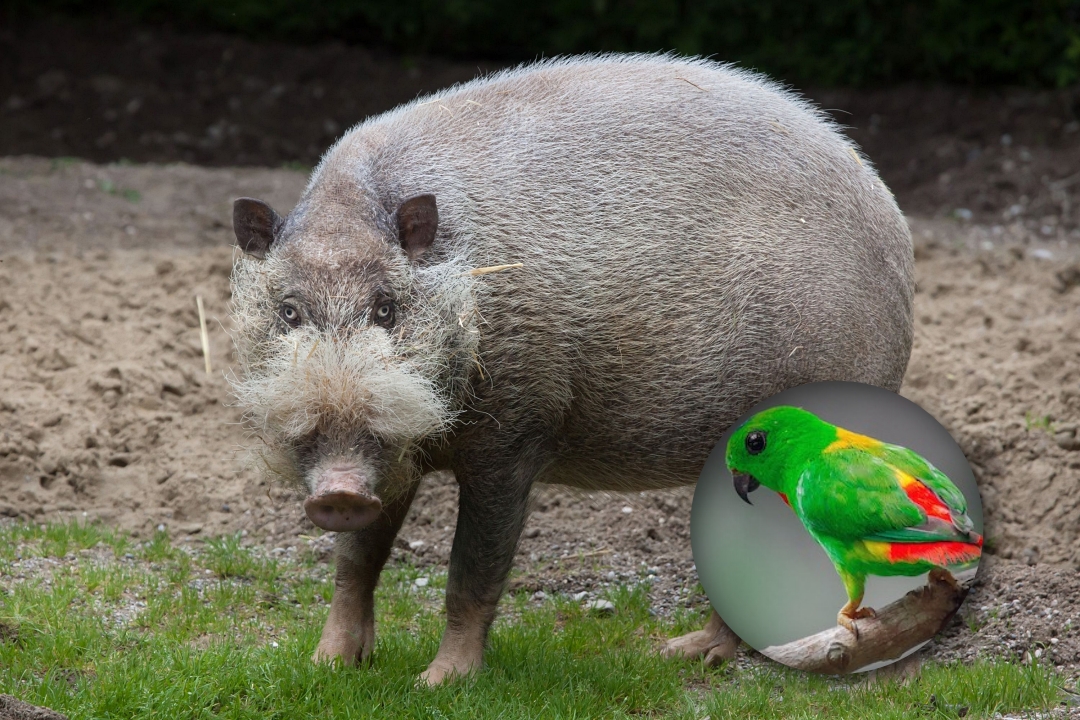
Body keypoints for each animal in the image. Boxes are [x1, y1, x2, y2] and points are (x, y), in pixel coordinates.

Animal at [228, 54, 914, 685]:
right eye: (287, 310)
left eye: (386, 307)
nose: (338, 491)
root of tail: (894, 226)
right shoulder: (397, 455)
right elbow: (356, 559)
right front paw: (327, 667)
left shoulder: (515, 434)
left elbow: (472, 568)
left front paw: (438, 683)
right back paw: (683, 654)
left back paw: (696, 657)